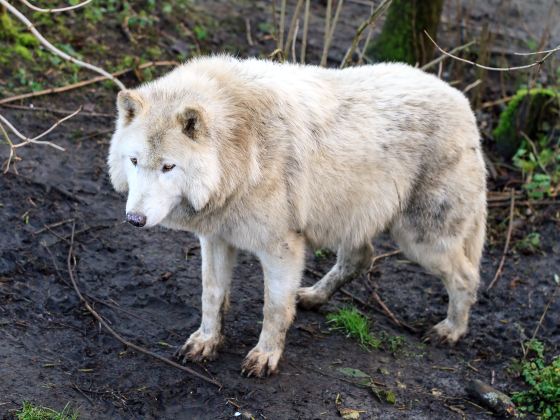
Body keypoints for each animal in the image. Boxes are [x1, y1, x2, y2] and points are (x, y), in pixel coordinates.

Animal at [108, 55, 486, 378]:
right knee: (362, 257)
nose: (135, 219)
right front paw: (206, 342)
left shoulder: (282, 248)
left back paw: (451, 331)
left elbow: (274, 308)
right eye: (134, 161)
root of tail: (463, 102)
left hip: (420, 240)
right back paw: (314, 296)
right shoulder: (216, 238)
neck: (240, 151)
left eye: (169, 167)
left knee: (466, 277)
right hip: (353, 219)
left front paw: (265, 357)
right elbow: (212, 295)